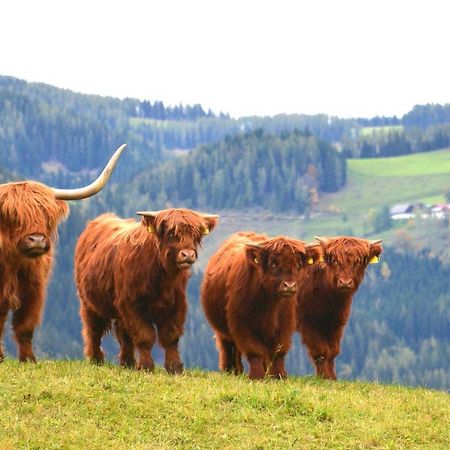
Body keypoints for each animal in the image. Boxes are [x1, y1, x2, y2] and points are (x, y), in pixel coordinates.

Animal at [0, 146, 126, 364]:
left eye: (45, 214)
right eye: (13, 215)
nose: (37, 240)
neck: (13, 264)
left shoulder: (34, 289)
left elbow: (26, 326)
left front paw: (29, 359)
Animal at [296, 236, 384, 380]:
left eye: (358, 262)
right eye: (336, 261)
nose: (345, 282)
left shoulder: (337, 323)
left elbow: (333, 351)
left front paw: (332, 377)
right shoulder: (308, 323)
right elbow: (321, 350)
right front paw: (324, 377)